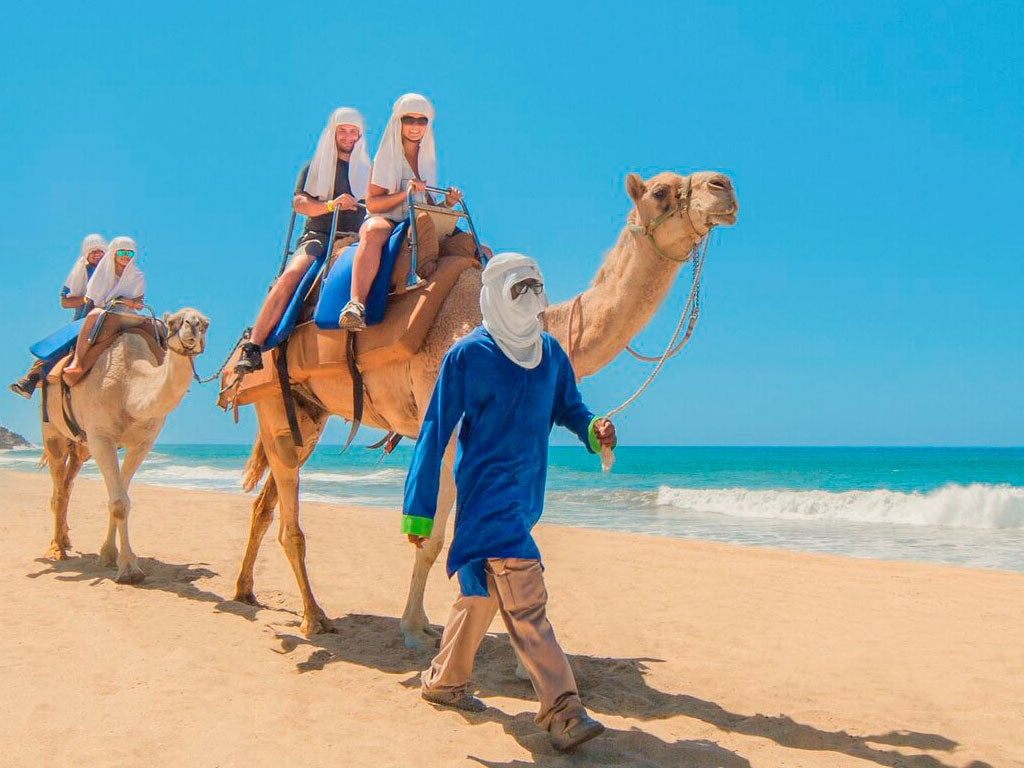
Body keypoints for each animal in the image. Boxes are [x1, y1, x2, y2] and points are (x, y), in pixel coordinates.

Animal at [40, 308, 210, 584]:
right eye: (173, 321)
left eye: (206, 323)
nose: (192, 325)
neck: (129, 389)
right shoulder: (101, 437)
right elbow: (119, 503)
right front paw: (129, 569)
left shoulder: (143, 442)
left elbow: (119, 498)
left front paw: (110, 556)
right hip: (53, 431)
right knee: (58, 489)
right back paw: (56, 549)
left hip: (82, 446)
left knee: (68, 483)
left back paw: (65, 540)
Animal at [235, 171, 738, 644]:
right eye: (659, 191)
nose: (724, 186)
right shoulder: (446, 424)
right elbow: (434, 537)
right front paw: (415, 628)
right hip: (275, 402)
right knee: (288, 516)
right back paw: (313, 618)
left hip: (307, 414)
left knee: (267, 499)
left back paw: (246, 591)